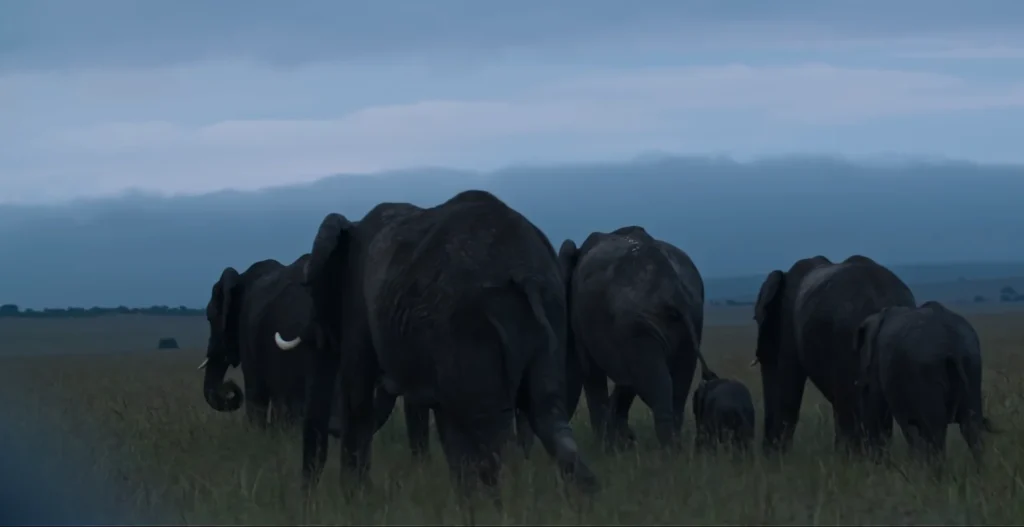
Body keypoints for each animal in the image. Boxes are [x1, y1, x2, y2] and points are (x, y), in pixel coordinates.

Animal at [274, 190, 597, 496]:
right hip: (551, 314)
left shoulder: (359, 307)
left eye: (311, 291)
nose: (306, 499)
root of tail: (525, 272)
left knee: (492, 432)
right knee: (548, 417)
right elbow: (448, 426)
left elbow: (358, 399)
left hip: (475, 323)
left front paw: (356, 500)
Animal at [558, 226, 704, 450]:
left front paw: (605, 449)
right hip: (690, 320)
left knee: (656, 385)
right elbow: (624, 380)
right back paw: (675, 450)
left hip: (640, 322)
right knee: (677, 387)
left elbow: (589, 371)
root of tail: (675, 287)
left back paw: (668, 454)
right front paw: (620, 442)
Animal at [855, 301, 996, 465]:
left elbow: (879, 410)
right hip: (972, 364)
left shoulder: (877, 365)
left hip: (928, 371)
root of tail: (952, 344)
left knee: (936, 430)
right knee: (971, 426)